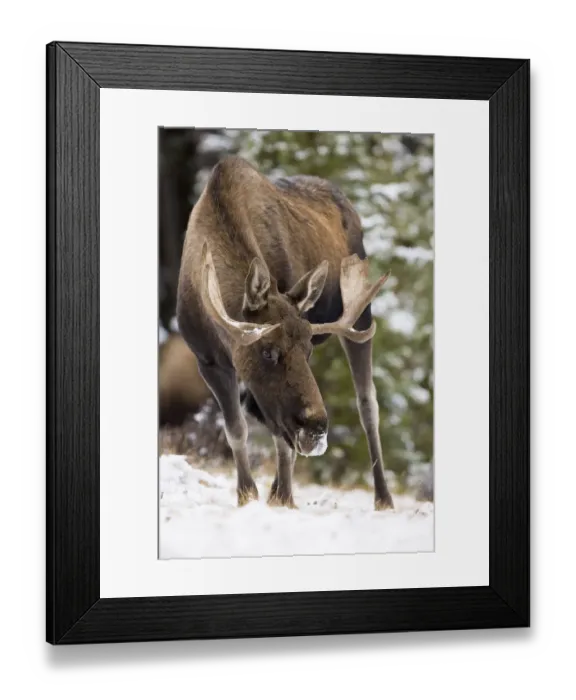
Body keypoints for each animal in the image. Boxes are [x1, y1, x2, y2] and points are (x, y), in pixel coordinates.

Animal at [176, 155, 394, 511]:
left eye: (306, 349)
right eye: (268, 351)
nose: (317, 425)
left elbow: (277, 435)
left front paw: (284, 498)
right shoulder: (208, 360)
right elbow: (237, 428)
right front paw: (248, 494)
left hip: (361, 317)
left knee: (367, 404)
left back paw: (383, 497)